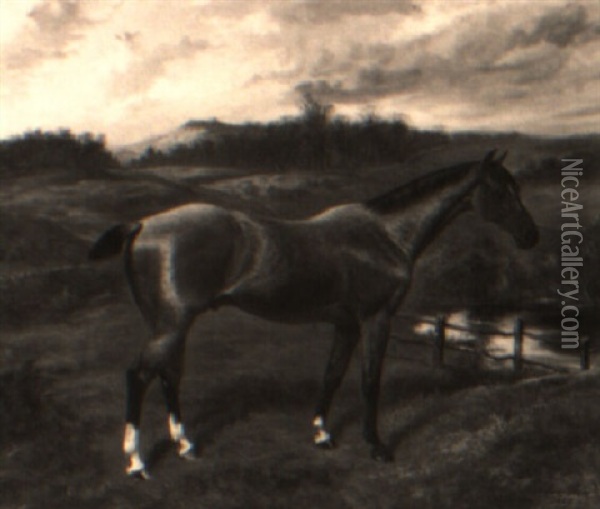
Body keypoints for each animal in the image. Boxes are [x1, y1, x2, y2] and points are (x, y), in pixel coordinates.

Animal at [89, 148, 540, 476]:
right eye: (500, 190)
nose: (531, 236)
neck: (386, 235)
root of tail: (142, 225)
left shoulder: (346, 324)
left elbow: (333, 375)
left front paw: (323, 434)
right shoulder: (376, 319)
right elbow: (369, 381)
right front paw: (376, 447)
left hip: (172, 325)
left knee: (168, 376)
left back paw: (185, 446)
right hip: (171, 325)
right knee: (139, 376)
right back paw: (137, 462)